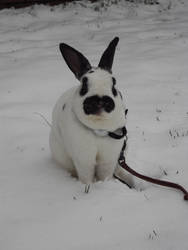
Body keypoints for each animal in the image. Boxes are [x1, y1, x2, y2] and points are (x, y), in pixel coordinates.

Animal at [49, 36, 134, 189]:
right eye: (84, 84)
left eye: (114, 83)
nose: (99, 100)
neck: (98, 131)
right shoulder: (83, 160)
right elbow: (86, 177)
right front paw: (88, 187)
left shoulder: (108, 160)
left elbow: (105, 175)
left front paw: (105, 184)